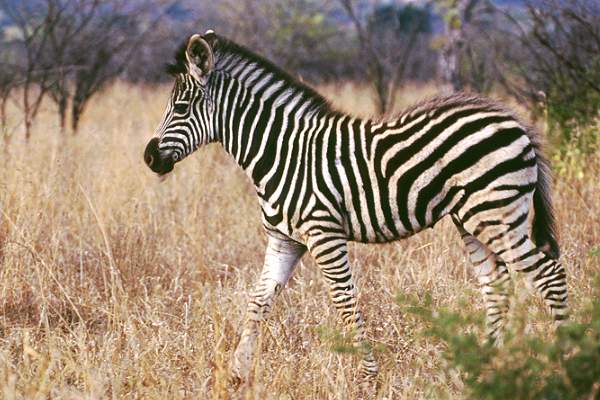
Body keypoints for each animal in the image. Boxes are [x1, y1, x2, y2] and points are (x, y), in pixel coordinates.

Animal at [144, 31, 568, 384]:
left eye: (181, 107)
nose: (150, 158)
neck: (282, 153)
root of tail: (515, 121)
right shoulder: (284, 240)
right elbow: (258, 302)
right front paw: (236, 373)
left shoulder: (323, 234)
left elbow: (344, 302)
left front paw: (368, 377)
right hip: (473, 220)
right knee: (497, 288)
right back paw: (483, 368)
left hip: (497, 215)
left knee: (549, 274)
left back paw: (566, 356)